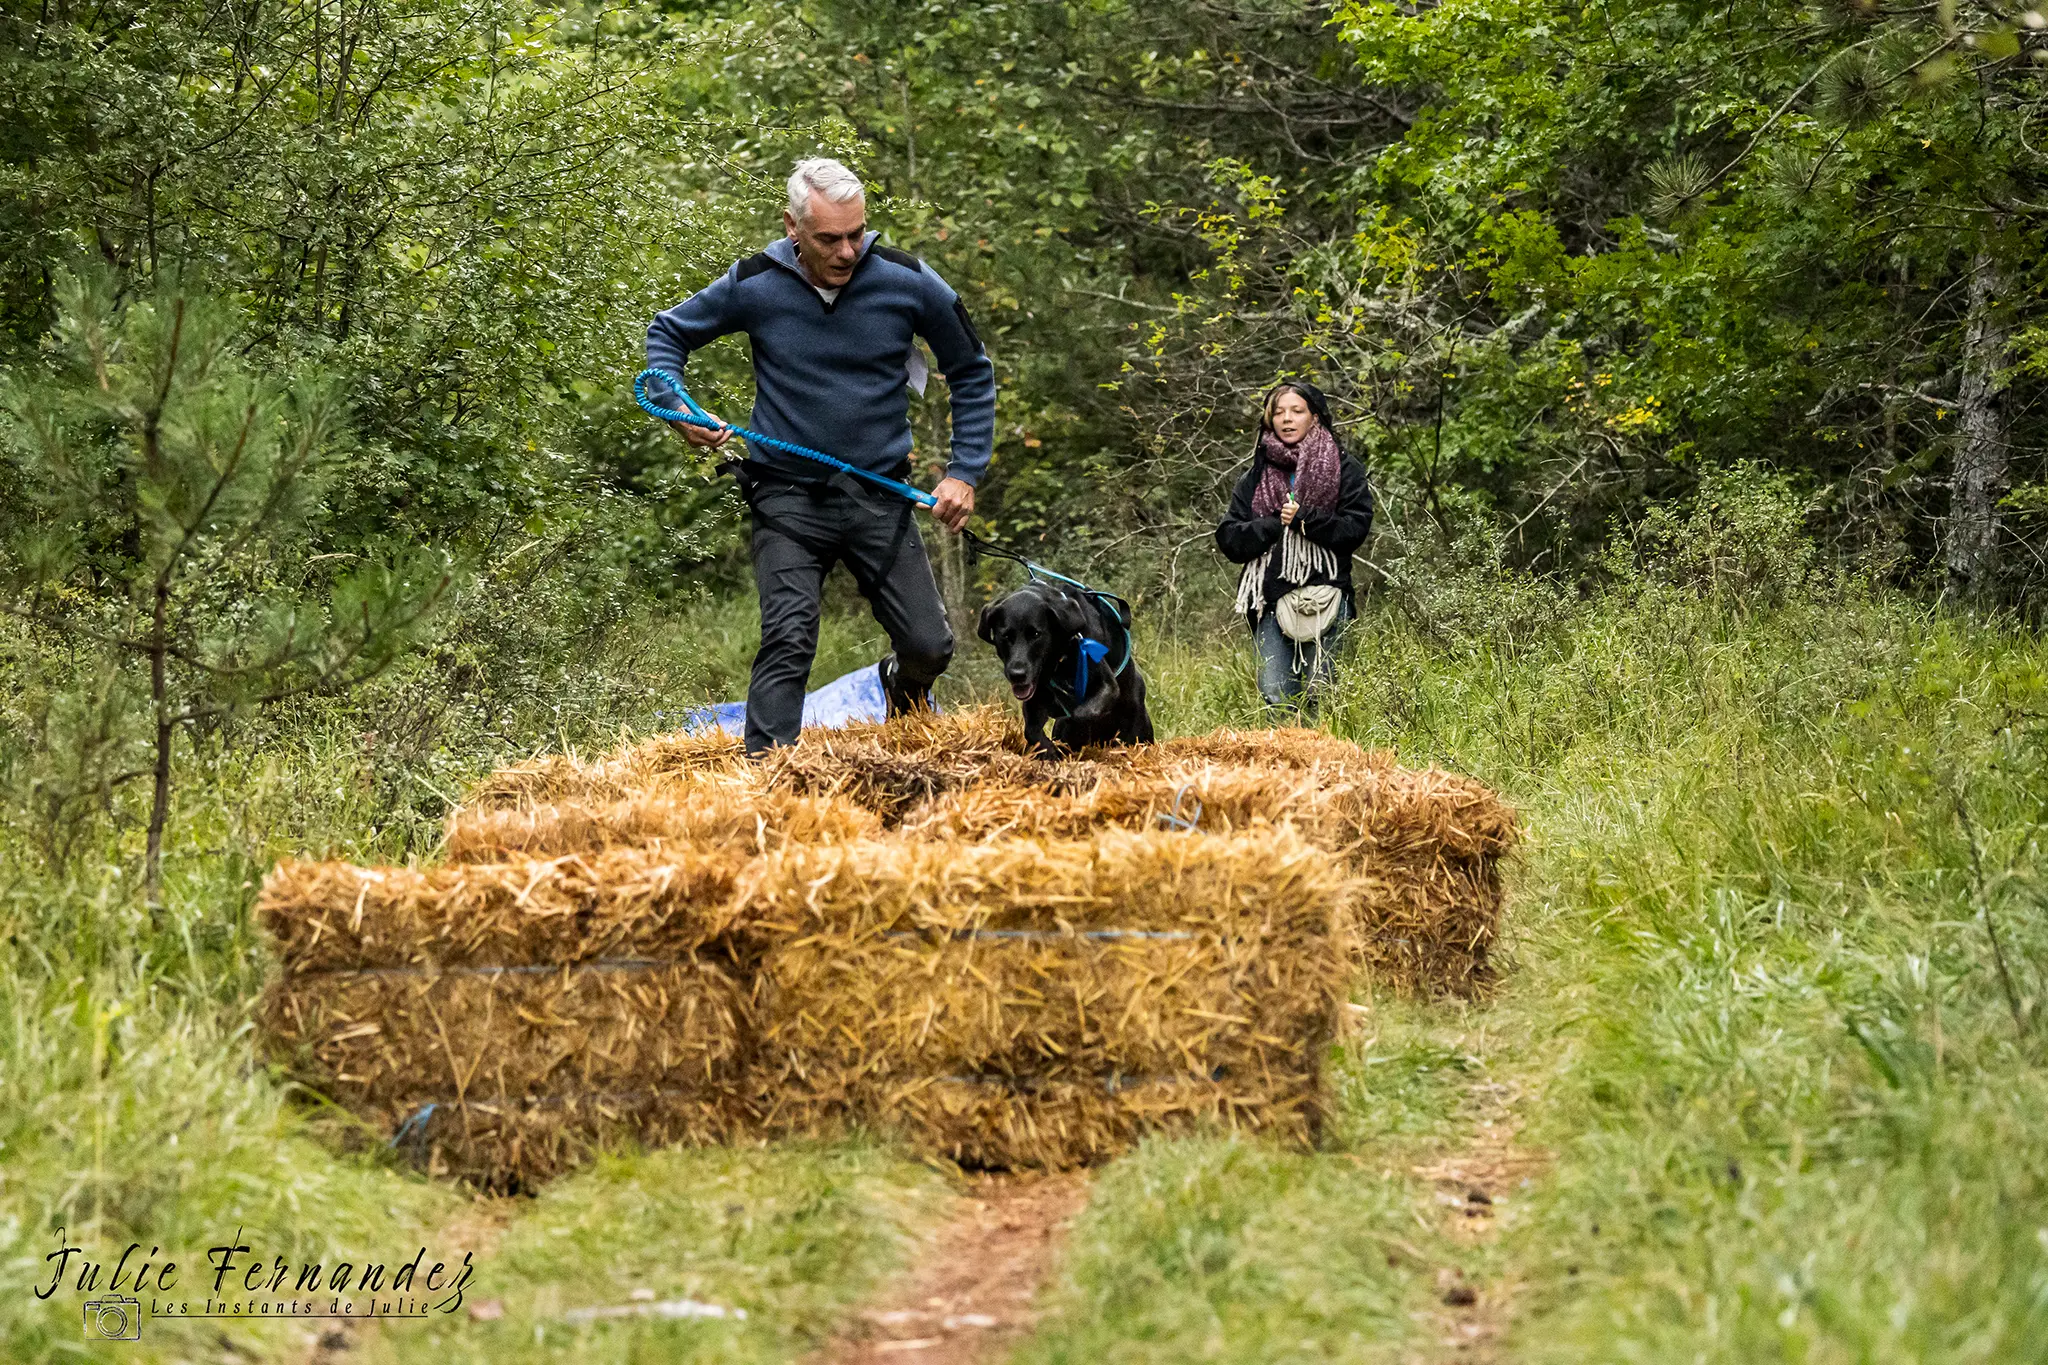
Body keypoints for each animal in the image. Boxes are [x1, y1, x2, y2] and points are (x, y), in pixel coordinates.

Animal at [974, 581, 1155, 757]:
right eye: (1006, 636)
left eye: (1036, 634)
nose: (1017, 675)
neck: (1058, 661)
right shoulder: (1035, 696)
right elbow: (1031, 730)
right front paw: (1048, 751)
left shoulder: (1107, 687)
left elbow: (1081, 714)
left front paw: (1073, 734)